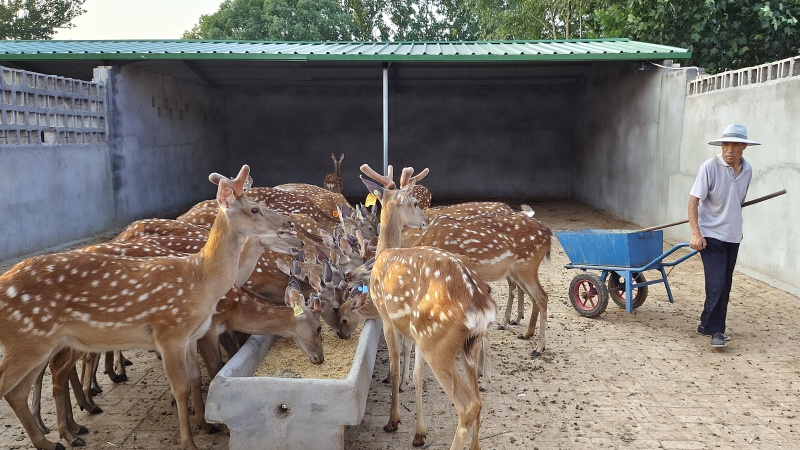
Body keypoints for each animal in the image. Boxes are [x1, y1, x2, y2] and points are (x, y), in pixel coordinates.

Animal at [0, 164, 296, 450]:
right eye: (254, 208)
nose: (290, 226)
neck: (201, 280)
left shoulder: (191, 336)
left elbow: (194, 378)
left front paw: (205, 424)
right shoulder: (170, 333)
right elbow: (181, 387)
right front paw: (190, 442)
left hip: (41, 344)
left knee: (18, 390)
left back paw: (53, 439)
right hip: (30, 341)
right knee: (23, 382)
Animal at [360, 163, 495, 450]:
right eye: (413, 203)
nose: (425, 220)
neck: (384, 252)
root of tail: (479, 305)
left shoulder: (386, 317)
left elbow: (395, 369)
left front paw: (393, 421)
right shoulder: (415, 334)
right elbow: (417, 377)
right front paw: (419, 433)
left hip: (438, 343)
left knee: (468, 405)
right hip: (464, 344)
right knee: (479, 399)